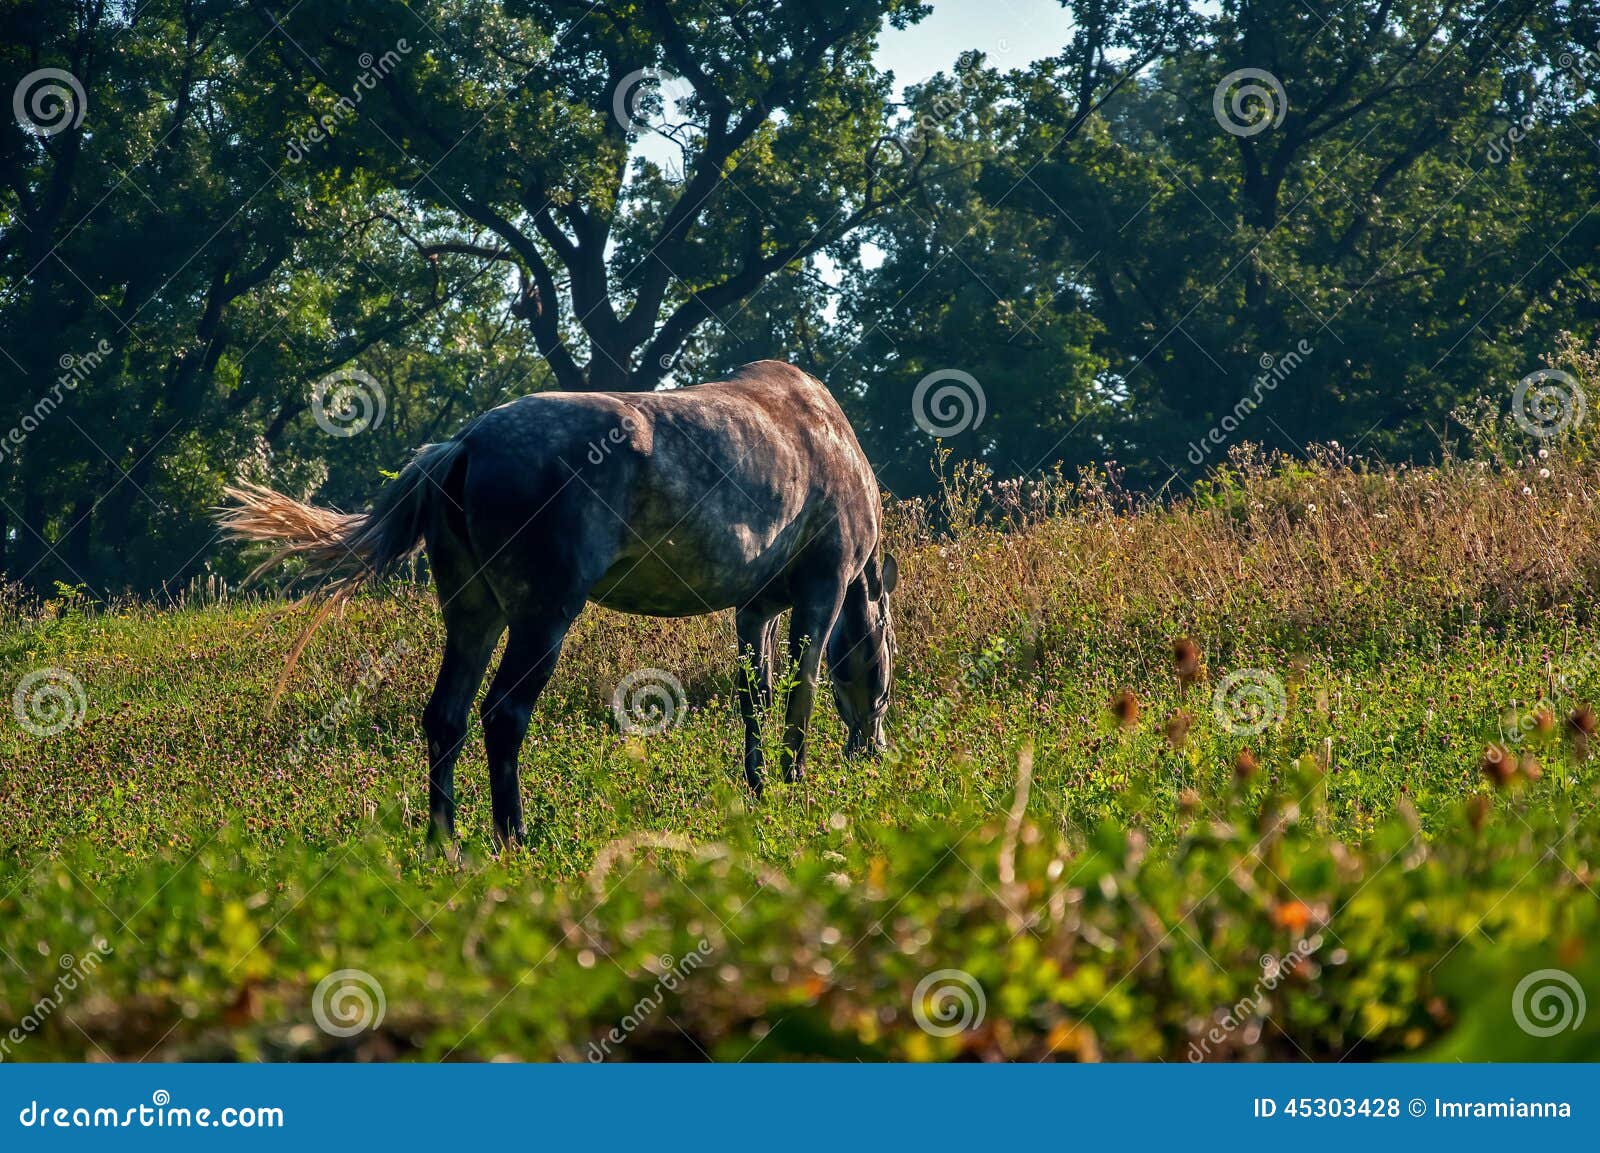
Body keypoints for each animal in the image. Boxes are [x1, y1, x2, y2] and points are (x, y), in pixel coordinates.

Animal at [219, 360, 898, 847]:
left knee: (446, 717)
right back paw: (513, 835)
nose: (873, 751)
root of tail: (463, 444)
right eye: (886, 670)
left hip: (474, 616)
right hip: (541, 619)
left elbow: (754, 694)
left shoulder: (754, 608)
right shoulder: (821, 590)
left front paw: (759, 787)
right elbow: (801, 688)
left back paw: (445, 842)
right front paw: (793, 781)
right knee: (503, 714)